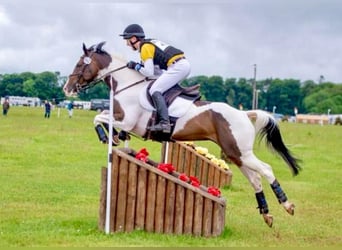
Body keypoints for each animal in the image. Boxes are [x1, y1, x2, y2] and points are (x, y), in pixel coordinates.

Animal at [62, 42, 300, 228]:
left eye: (80, 64)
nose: (67, 88)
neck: (128, 86)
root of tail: (244, 113)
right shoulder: (124, 121)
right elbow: (102, 117)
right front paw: (113, 137)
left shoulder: (129, 121)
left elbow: (98, 117)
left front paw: (106, 137)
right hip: (236, 154)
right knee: (255, 179)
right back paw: (267, 214)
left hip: (241, 153)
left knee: (266, 170)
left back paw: (287, 205)